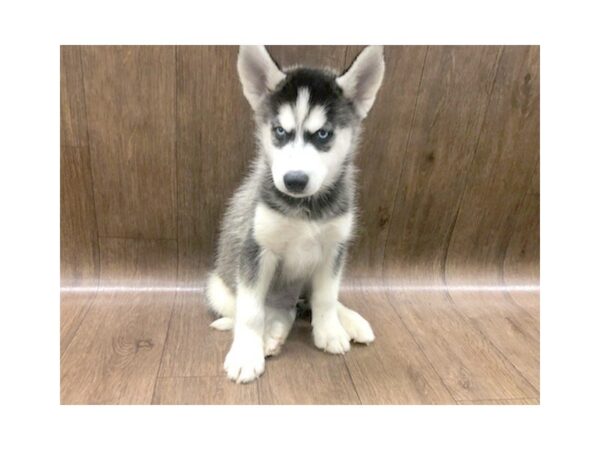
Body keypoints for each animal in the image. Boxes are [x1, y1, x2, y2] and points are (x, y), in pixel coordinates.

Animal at [206, 46, 384, 384]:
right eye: (280, 132)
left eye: (323, 134)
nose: (294, 181)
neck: (305, 211)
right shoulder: (256, 249)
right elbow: (250, 312)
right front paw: (245, 355)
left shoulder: (334, 249)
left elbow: (326, 296)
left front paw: (330, 331)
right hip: (217, 287)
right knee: (268, 310)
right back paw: (271, 334)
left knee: (305, 303)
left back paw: (347, 321)